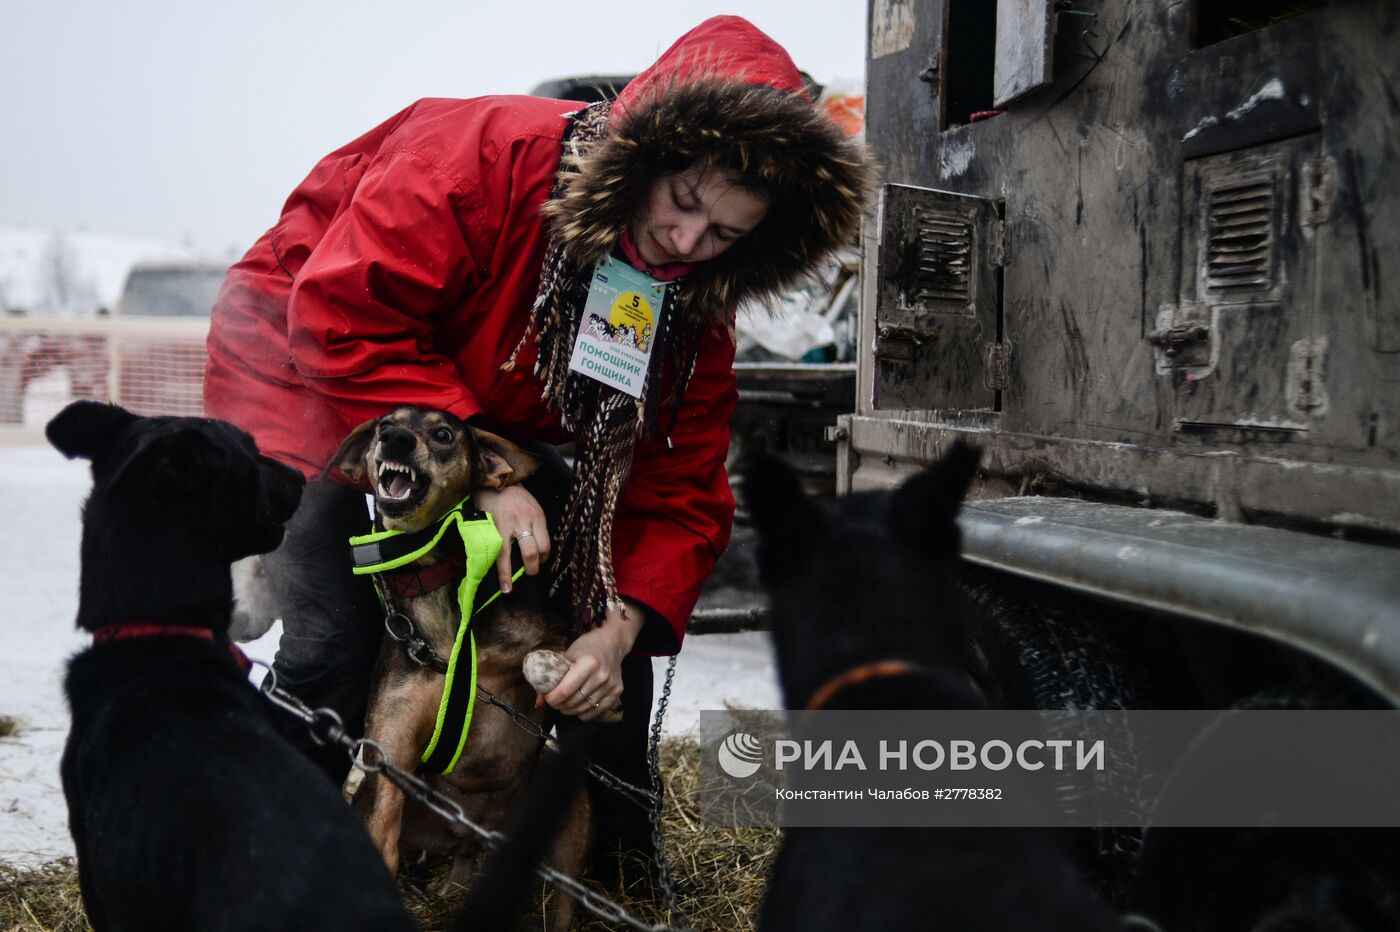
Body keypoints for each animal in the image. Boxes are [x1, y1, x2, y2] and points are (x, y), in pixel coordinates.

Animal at [330, 403, 616, 923]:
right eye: (384, 423)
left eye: (444, 434)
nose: (395, 438)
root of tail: (478, 831)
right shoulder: (389, 755)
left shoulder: (559, 635)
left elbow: (538, 660)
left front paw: (569, 684)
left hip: (567, 818)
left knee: (564, 906)